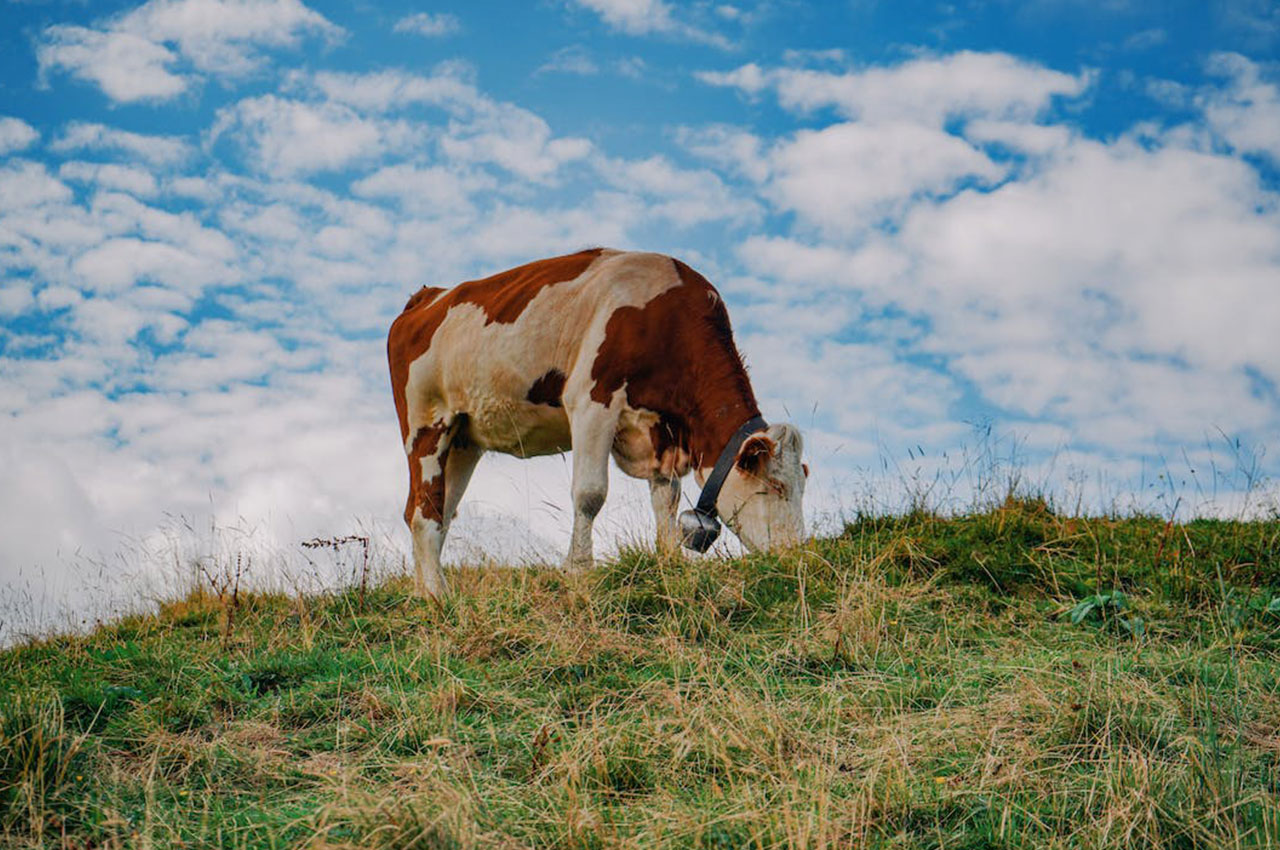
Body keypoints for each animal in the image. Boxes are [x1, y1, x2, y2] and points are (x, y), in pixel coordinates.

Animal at [384, 247, 803, 596]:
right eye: (777, 486)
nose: (798, 556)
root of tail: (429, 296)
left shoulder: (662, 433)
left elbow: (665, 502)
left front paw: (669, 561)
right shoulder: (591, 400)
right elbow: (590, 494)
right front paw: (580, 569)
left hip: (463, 439)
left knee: (439, 509)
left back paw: (423, 592)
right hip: (425, 423)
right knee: (422, 511)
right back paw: (438, 596)